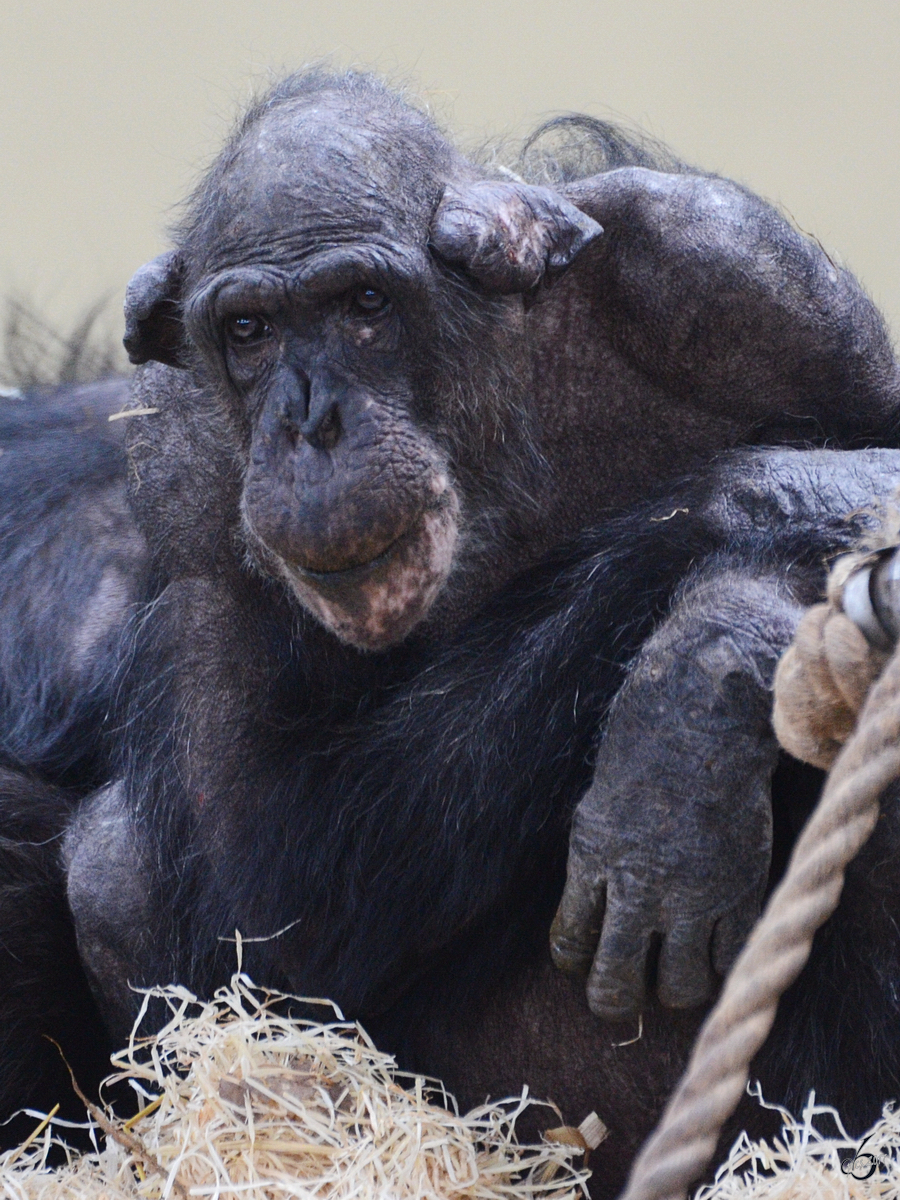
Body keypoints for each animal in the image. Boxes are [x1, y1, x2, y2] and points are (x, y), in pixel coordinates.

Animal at [5, 75, 900, 1200]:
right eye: (250, 329)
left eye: (364, 306)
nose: (312, 420)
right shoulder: (189, 482)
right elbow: (263, 885)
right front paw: (713, 648)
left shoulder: (733, 270)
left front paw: (695, 700)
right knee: (115, 871)